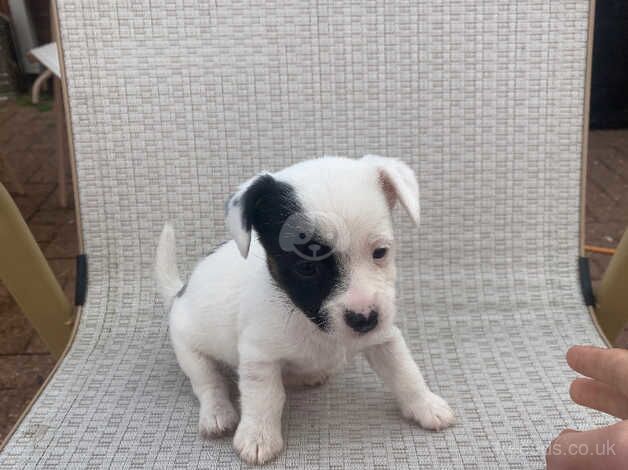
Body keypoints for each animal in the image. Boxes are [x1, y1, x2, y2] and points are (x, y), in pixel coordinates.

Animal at [155, 156, 454, 464]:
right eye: (306, 267)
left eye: (380, 252)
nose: (364, 319)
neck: (308, 321)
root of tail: (179, 293)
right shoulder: (259, 358)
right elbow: (264, 398)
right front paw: (258, 435)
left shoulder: (384, 337)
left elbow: (405, 372)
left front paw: (426, 405)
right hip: (190, 352)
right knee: (208, 383)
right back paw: (217, 413)